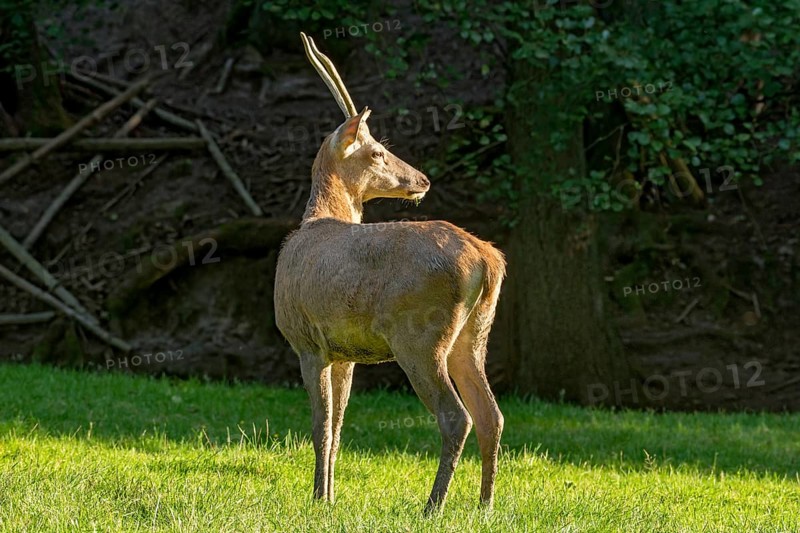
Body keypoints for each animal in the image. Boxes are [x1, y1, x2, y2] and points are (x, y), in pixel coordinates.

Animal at [273, 32, 506, 513]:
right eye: (378, 150)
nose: (422, 180)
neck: (316, 219)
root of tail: (488, 261)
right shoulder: (343, 352)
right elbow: (338, 427)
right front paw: (330, 498)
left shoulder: (307, 341)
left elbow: (320, 426)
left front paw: (317, 499)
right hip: (474, 333)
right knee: (491, 414)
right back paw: (485, 504)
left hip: (420, 336)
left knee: (456, 415)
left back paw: (433, 505)